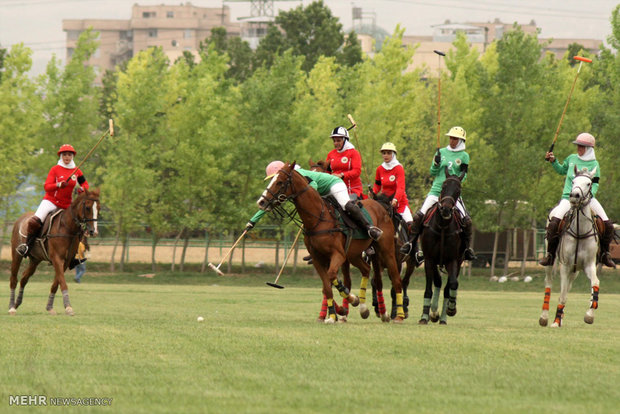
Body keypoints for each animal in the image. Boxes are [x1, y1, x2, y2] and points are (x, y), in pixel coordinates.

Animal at [256, 162, 404, 324]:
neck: (317, 219)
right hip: (354, 254)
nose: (261, 202)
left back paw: (398, 315)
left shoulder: (337, 255)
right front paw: (334, 315)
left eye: (280, 182)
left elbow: (332, 276)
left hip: (386, 250)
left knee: (395, 280)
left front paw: (351, 300)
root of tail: (381, 206)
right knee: (366, 270)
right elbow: (326, 287)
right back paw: (364, 309)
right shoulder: (317, 258)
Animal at [416, 167, 464, 324]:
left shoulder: (453, 260)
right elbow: (429, 288)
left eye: (458, 190)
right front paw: (425, 316)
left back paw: (442, 316)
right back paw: (434, 312)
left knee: (447, 286)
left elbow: (452, 285)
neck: (442, 225)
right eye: (443, 186)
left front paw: (451, 309)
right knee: (437, 282)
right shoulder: (429, 259)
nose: (446, 209)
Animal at [540, 167, 600, 328]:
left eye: (588, 183)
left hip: (575, 271)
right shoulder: (565, 266)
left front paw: (590, 315)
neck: (580, 231)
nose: (574, 196)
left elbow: (595, 283)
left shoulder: (588, 265)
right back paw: (544, 317)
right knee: (549, 282)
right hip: (552, 261)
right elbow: (561, 295)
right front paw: (555, 321)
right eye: (573, 181)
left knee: (568, 287)